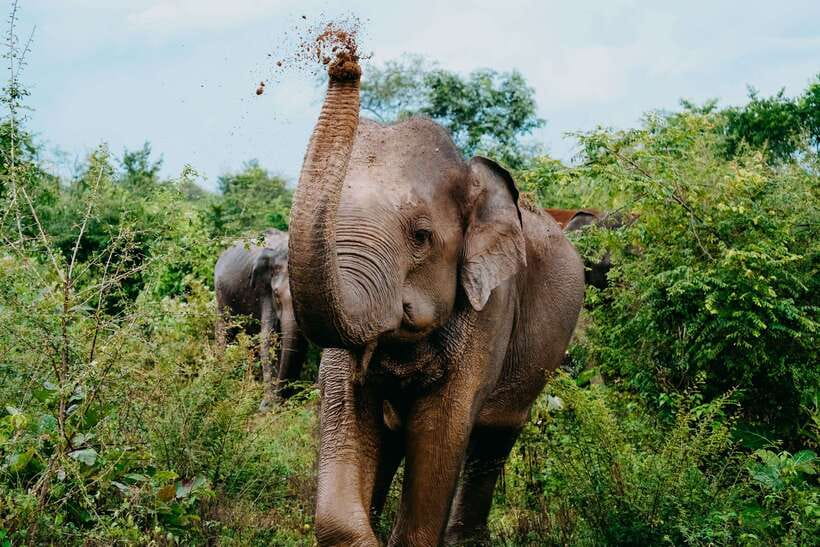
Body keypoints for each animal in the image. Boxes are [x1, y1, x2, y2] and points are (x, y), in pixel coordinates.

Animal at [214, 228, 308, 410]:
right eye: (276, 295)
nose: (277, 402)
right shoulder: (264, 291)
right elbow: (268, 338)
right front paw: (268, 406)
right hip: (221, 295)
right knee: (225, 332)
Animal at [286, 53, 585, 546]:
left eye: (421, 236)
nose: (344, 60)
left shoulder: (492, 305)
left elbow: (441, 429)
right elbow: (346, 408)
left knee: (493, 439)